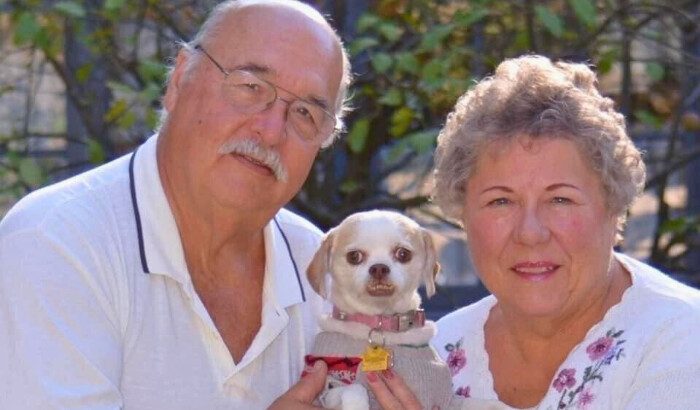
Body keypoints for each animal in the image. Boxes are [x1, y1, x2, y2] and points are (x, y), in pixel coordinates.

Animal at [304, 211, 456, 410]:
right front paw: (358, 404)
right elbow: (355, 390)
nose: (379, 267)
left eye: (403, 254)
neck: (382, 323)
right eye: (354, 256)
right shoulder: (331, 387)